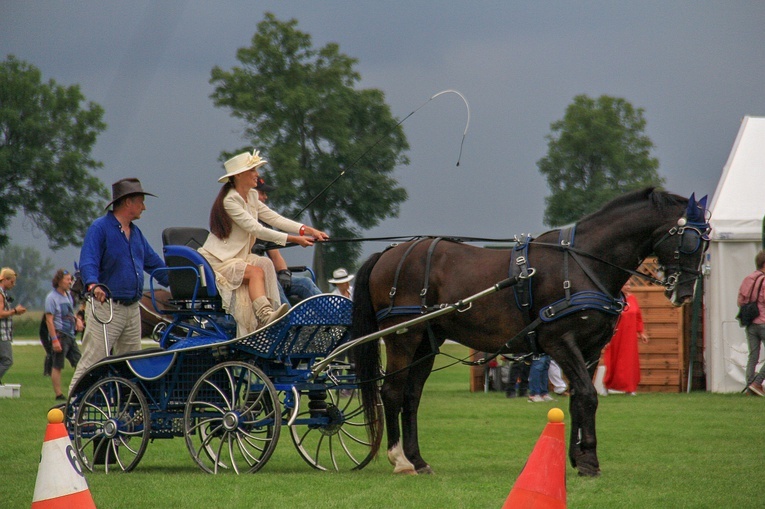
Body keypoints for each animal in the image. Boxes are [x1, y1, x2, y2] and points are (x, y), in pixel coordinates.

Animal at [352, 188, 712, 476]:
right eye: (690, 240)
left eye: (706, 240)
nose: (684, 292)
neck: (583, 264)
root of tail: (389, 253)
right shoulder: (560, 342)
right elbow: (588, 395)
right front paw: (589, 460)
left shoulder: (591, 349)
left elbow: (578, 399)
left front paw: (578, 458)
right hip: (403, 336)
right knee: (392, 392)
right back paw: (400, 459)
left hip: (428, 342)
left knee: (411, 396)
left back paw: (418, 460)